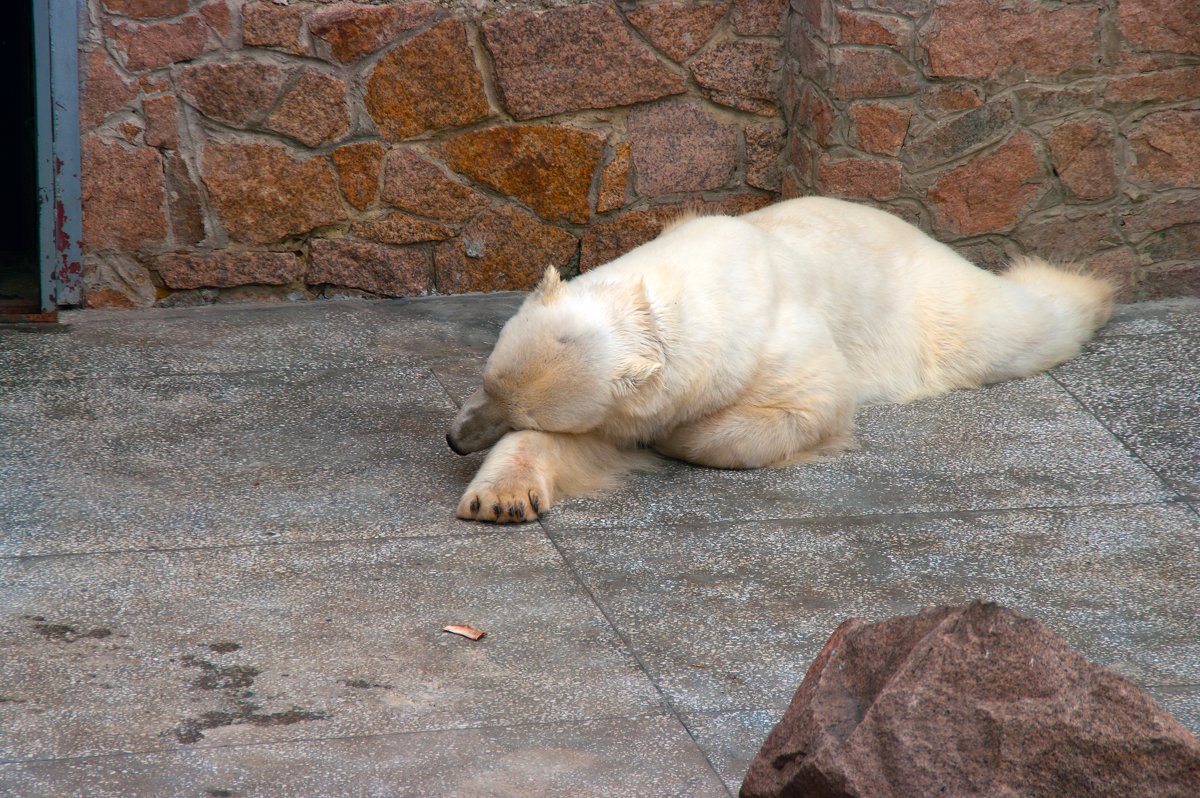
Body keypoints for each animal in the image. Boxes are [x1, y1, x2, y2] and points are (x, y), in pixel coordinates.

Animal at [444, 198, 1113, 523]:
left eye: (515, 410)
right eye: (489, 384)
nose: (456, 438)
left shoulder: (770, 346)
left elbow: (807, 405)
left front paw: (673, 436)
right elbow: (588, 444)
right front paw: (501, 498)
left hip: (929, 310)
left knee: (1013, 327)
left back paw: (1082, 288)